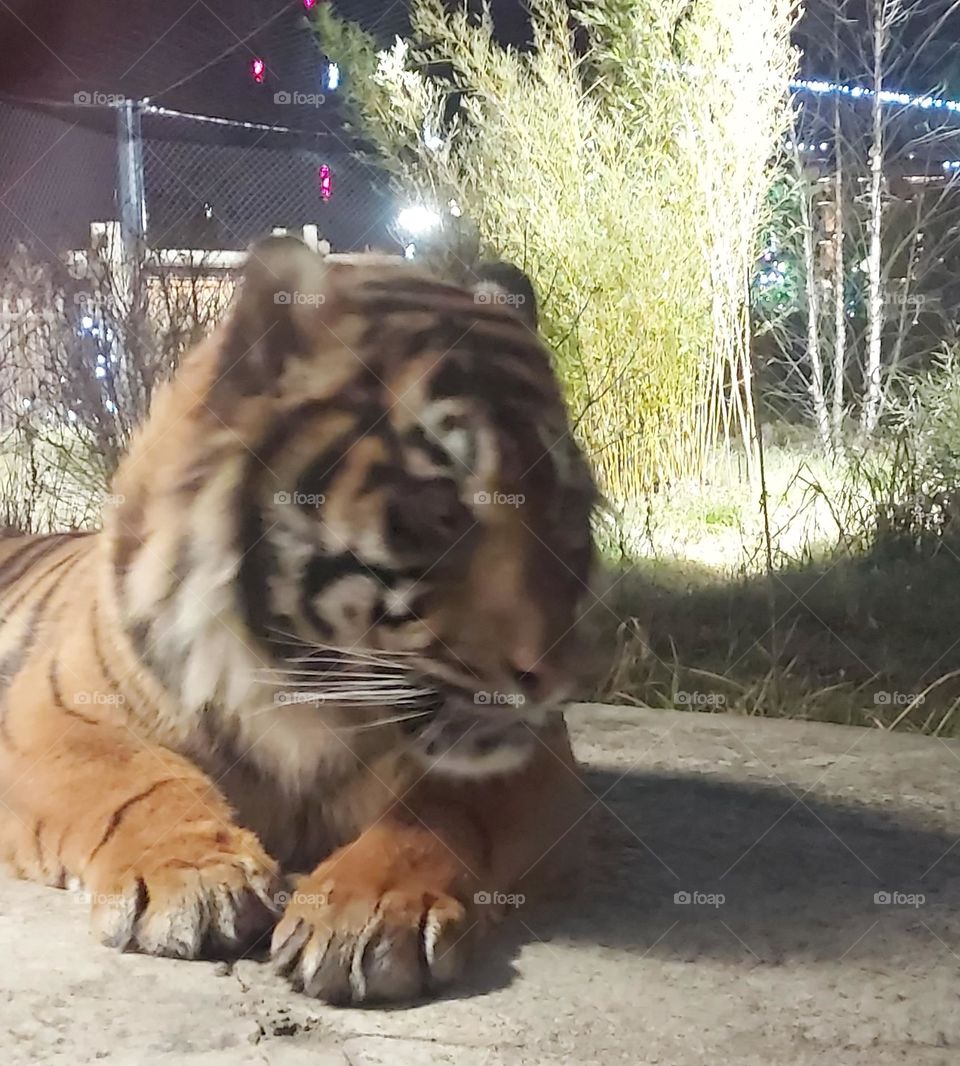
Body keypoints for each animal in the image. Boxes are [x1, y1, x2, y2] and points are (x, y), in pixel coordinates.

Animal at [0, 236, 597, 1005]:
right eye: (438, 509)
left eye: (568, 510)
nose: (558, 678)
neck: (306, 685)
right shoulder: (53, 715)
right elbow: (134, 778)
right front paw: (196, 877)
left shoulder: (537, 758)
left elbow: (441, 809)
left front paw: (366, 908)